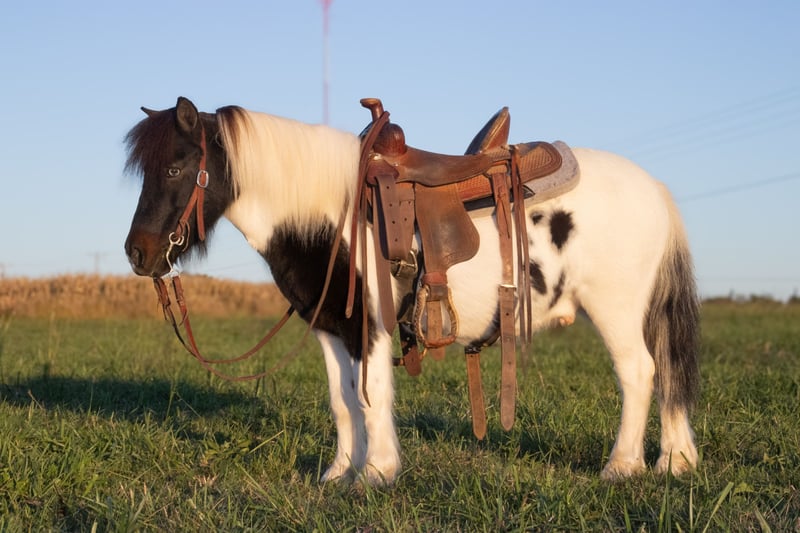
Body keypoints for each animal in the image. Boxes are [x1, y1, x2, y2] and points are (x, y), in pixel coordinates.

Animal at [124, 96, 700, 485]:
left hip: (614, 309)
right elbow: (343, 400)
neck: (331, 214)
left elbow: (372, 394)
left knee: (639, 372)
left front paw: (376, 473)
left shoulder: (371, 325)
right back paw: (675, 461)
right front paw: (339, 473)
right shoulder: (332, 328)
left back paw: (622, 467)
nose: (137, 254)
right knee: (667, 374)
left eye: (175, 167)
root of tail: (655, 189)